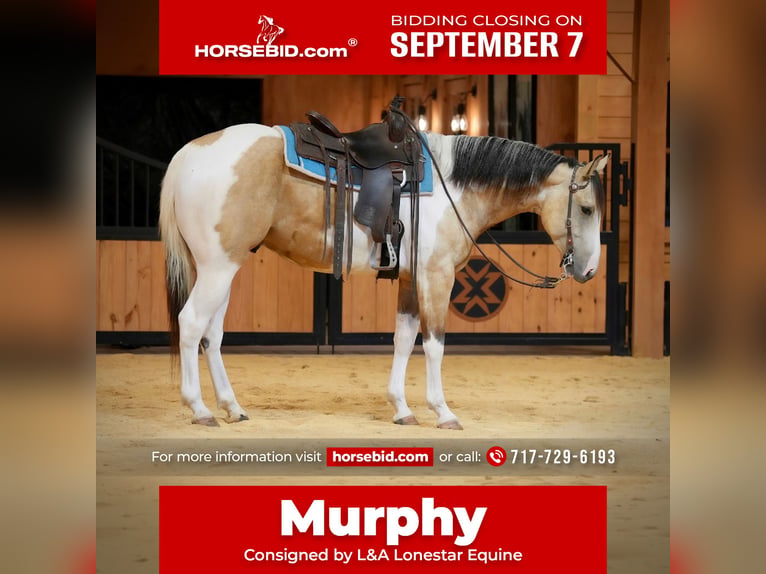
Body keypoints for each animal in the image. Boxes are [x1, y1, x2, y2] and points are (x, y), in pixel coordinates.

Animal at [159, 123, 608, 428]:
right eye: (586, 209)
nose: (588, 270)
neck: (455, 187)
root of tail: (189, 154)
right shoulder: (436, 277)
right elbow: (434, 345)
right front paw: (443, 412)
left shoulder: (411, 280)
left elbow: (403, 340)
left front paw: (402, 408)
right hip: (218, 268)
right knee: (191, 324)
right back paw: (199, 409)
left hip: (223, 268)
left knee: (212, 335)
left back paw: (232, 407)